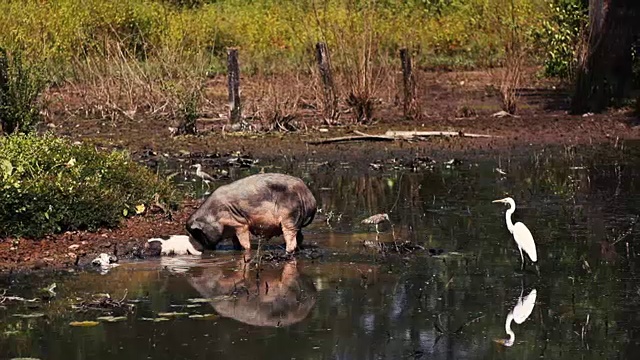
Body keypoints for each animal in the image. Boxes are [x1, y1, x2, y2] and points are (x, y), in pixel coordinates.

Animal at [184, 172, 316, 253]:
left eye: (199, 234)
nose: (203, 249)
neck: (214, 215)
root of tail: (310, 198)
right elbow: (236, 242)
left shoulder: (240, 224)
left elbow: (244, 243)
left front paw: (246, 250)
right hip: (297, 220)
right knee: (300, 237)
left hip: (290, 217)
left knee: (291, 238)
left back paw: (286, 251)